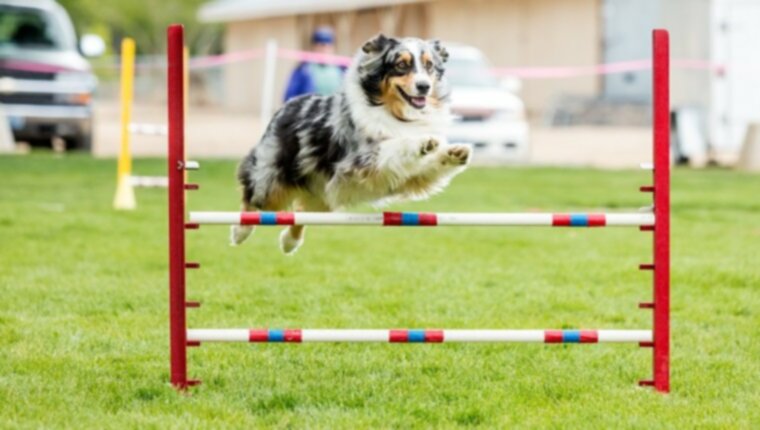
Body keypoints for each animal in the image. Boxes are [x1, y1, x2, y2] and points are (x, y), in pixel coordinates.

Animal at [232, 35, 470, 254]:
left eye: (429, 66)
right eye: (401, 65)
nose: (424, 86)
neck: (399, 114)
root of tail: (288, 104)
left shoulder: (411, 177)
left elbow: (429, 165)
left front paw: (455, 152)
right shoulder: (363, 159)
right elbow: (395, 145)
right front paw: (421, 142)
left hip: (323, 194)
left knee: (300, 212)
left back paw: (289, 242)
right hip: (271, 179)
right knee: (252, 197)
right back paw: (240, 231)